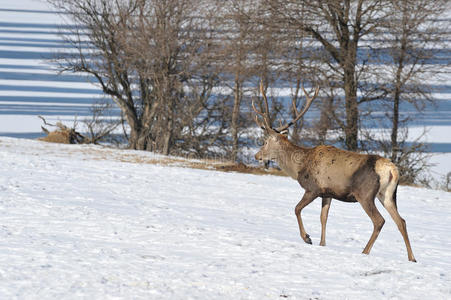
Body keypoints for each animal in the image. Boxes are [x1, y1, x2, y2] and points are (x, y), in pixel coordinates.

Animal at [254, 81, 416, 262]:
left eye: (265, 142)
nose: (257, 156)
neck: (299, 166)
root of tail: (391, 170)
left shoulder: (313, 188)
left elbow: (296, 208)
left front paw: (307, 238)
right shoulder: (328, 193)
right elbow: (323, 218)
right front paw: (322, 244)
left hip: (365, 194)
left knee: (379, 220)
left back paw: (365, 251)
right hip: (387, 195)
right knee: (401, 221)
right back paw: (412, 258)